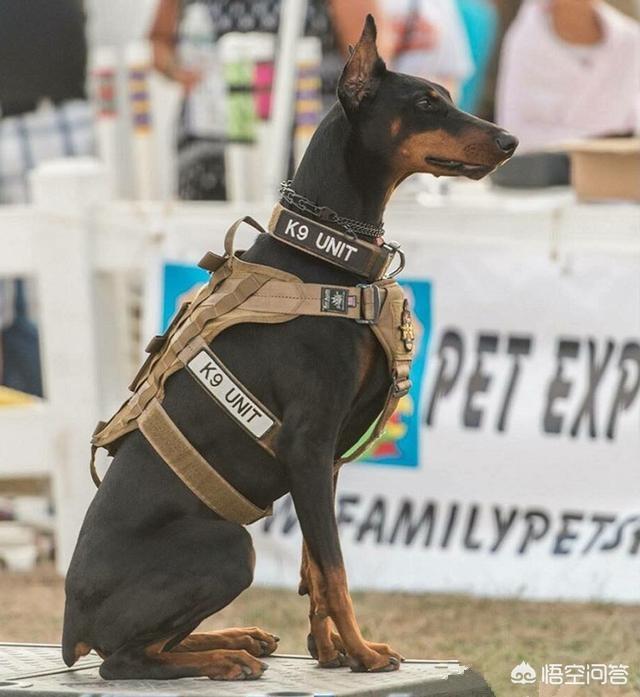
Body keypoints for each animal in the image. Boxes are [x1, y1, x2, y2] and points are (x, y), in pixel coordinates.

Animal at [62, 14, 516, 680]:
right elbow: (335, 569)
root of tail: (69, 622)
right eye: (426, 103)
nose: (510, 140)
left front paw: (330, 653)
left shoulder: (326, 460)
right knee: (123, 660)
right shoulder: (307, 444)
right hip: (230, 544)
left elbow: (314, 567)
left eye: (447, 95)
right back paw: (224, 658)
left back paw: (239, 638)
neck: (325, 254)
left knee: (155, 644)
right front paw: (362, 653)